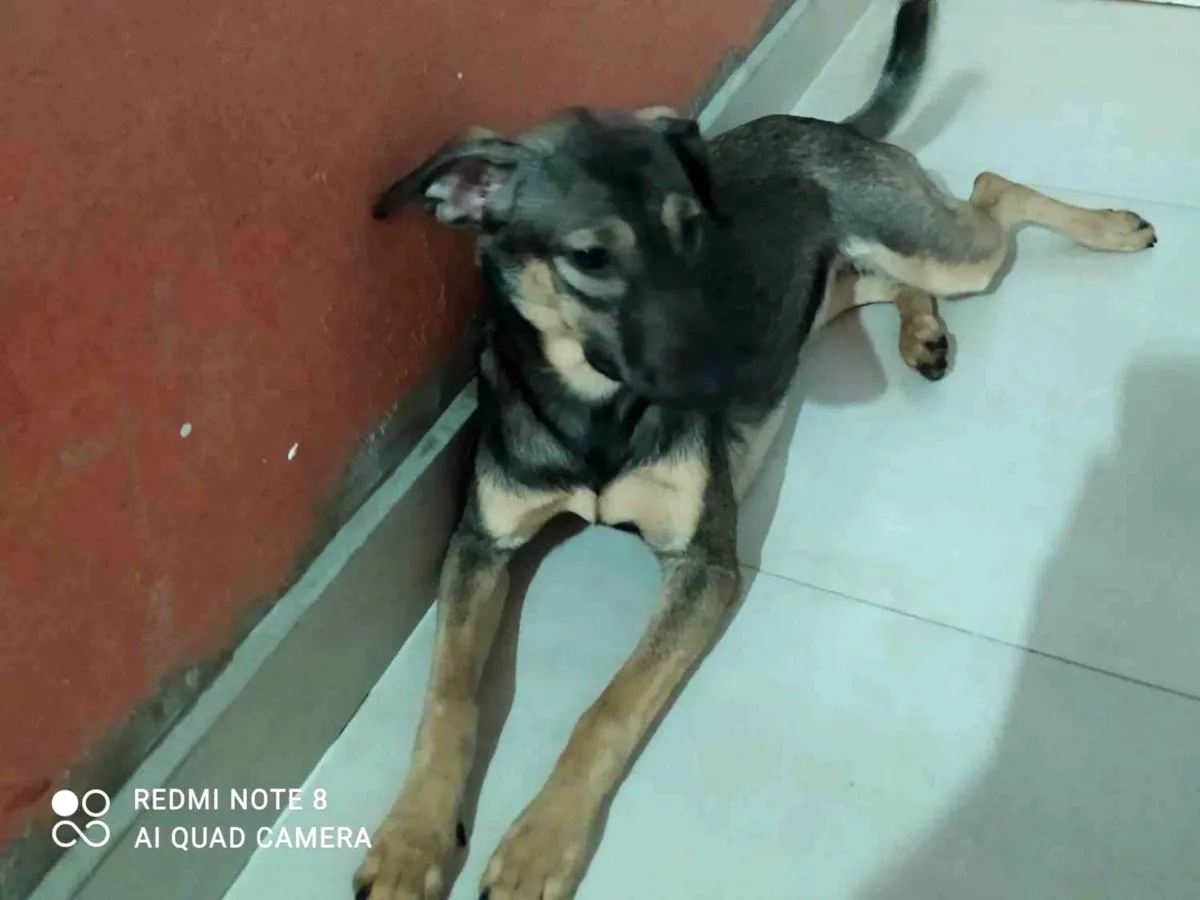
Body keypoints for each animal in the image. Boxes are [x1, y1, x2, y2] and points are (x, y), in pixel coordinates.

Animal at [357, 2, 1156, 897]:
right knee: (900, 274)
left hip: (938, 249)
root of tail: (826, 126)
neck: (595, 406)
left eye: (693, 232)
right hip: (841, 291)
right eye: (590, 256)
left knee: (989, 190)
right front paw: (411, 841)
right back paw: (922, 334)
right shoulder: (479, 544)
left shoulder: (703, 564)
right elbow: (445, 701)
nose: (726, 373)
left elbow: (605, 710)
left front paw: (537, 846)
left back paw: (1110, 228)